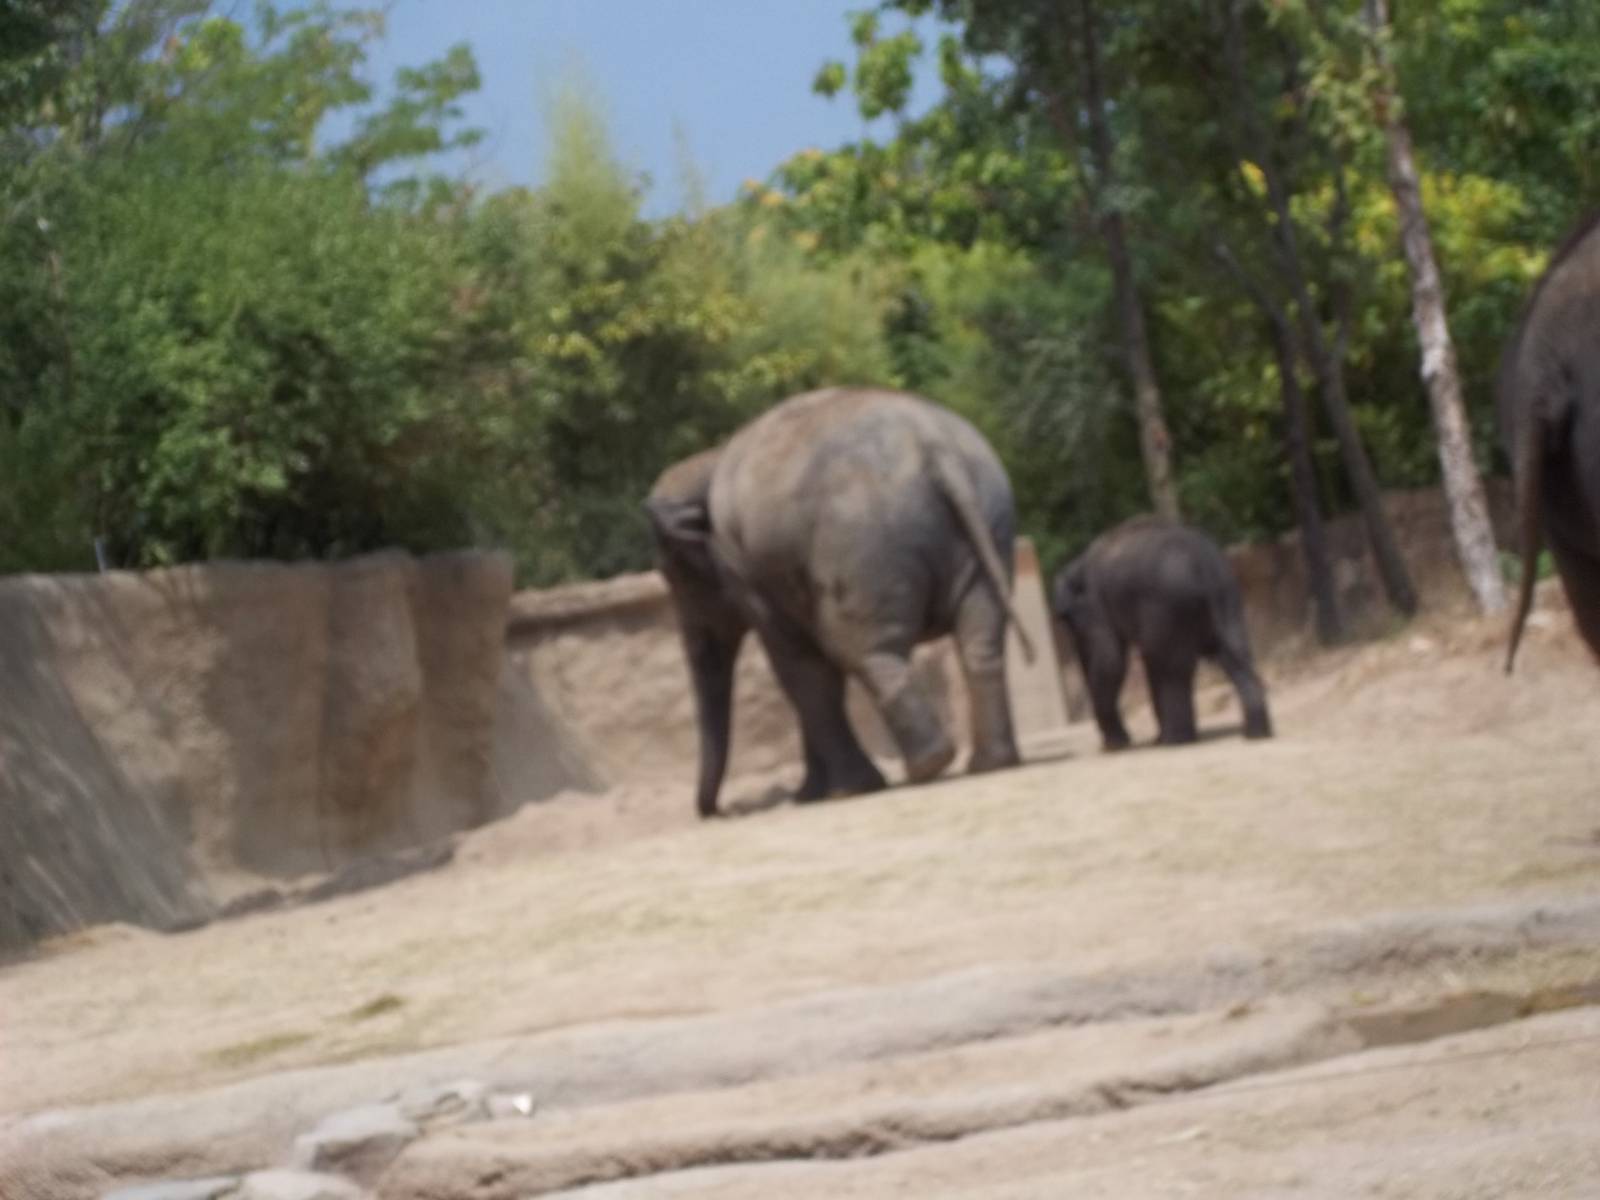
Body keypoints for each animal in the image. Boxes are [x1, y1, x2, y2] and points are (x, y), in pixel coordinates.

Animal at [645, 387, 1036, 819]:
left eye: (673, 575)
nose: (719, 811)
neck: (709, 459)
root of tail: (936, 449)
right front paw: (810, 795)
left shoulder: (744, 570)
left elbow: (798, 665)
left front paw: (841, 792)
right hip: (989, 524)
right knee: (980, 639)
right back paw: (990, 763)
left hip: (862, 547)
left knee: (860, 650)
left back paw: (926, 765)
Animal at [1050, 516, 1272, 750]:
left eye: (1066, 620)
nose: (1106, 744)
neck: (1078, 563)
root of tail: (1204, 562)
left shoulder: (1095, 606)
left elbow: (1110, 661)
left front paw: (1115, 746)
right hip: (1227, 597)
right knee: (1235, 654)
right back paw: (1255, 734)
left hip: (1169, 603)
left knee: (1169, 666)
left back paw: (1175, 741)